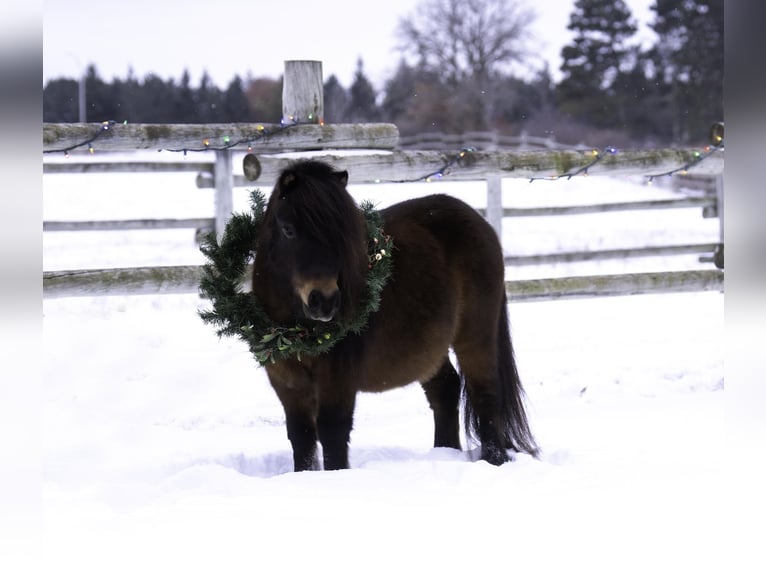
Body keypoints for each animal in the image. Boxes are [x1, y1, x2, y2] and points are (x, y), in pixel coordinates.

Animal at [251, 159, 538, 471]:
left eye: (340, 235)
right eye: (288, 229)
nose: (324, 302)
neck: (294, 328)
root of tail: (480, 222)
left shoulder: (338, 379)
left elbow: (332, 431)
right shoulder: (286, 382)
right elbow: (301, 435)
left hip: (475, 336)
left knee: (485, 394)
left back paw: (494, 461)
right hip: (430, 349)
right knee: (446, 390)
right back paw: (444, 453)